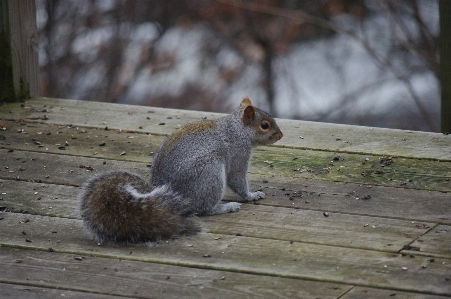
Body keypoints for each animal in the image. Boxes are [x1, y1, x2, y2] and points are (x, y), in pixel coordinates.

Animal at [77, 98, 282, 246]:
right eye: (264, 125)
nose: (281, 135)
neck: (237, 130)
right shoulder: (239, 153)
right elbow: (237, 179)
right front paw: (252, 195)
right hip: (209, 173)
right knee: (202, 209)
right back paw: (225, 207)